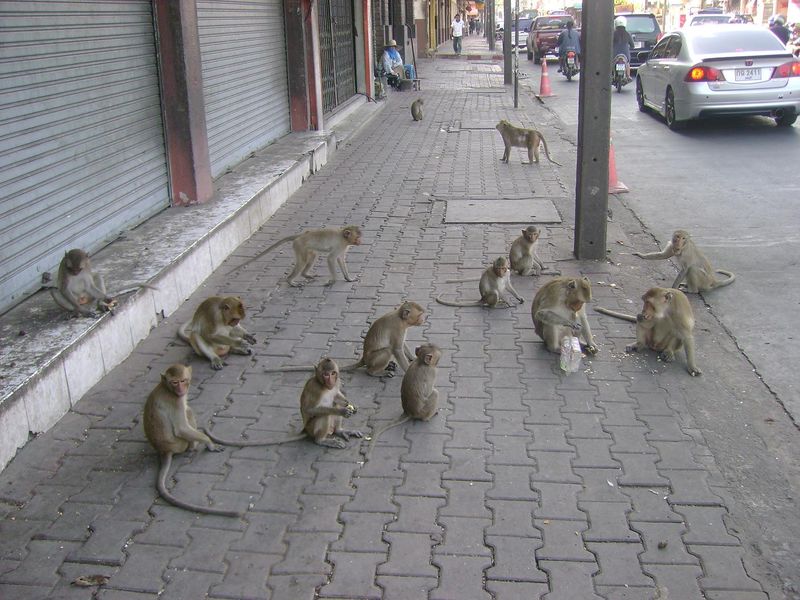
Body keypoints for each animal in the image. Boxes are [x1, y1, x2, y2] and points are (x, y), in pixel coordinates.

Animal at [143, 365, 241, 517]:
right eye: (174, 382)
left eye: (183, 380)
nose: (181, 390)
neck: (166, 387)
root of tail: (164, 450)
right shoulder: (176, 401)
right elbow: (181, 429)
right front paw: (210, 443)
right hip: (179, 444)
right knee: (188, 411)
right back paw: (193, 447)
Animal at [227, 225, 363, 287]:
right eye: (357, 237)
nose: (360, 242)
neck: (343, 237)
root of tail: (300, 236)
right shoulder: (339, 245)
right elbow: (330, 259)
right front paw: (333, 280)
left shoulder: (343, 248)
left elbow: (340, 260)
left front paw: (348, 278)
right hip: (299, 247)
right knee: (302, 261)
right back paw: (290, 281)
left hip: (305, 248)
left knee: (312, 256)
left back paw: (305, 275)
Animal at [264, 302, 426, 377]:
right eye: (419, 315)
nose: (424, 319)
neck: (401, 318)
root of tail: (364, 358)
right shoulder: (397, 328)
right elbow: (397, 349)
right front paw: (409, 370)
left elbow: (402, 345)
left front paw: (412, 358)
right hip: (373, 359)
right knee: (386, 351)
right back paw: (374, 372)